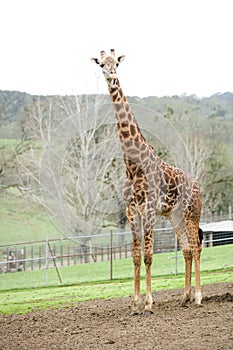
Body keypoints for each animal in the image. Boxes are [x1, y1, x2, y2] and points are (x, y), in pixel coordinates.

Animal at [91, 49, 202, 314]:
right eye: (101, 64)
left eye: (116, 63)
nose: (112, 75)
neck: (133, 166)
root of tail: (198, 186)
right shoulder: (132, 211)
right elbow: (135, 256)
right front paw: (134, 304)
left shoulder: (149, 209)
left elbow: (149, 255)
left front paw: (149, 303)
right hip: (175, 217)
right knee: (186, 249)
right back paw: (185, 297)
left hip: (192, 214)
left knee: (196, 247)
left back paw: (198, 297)